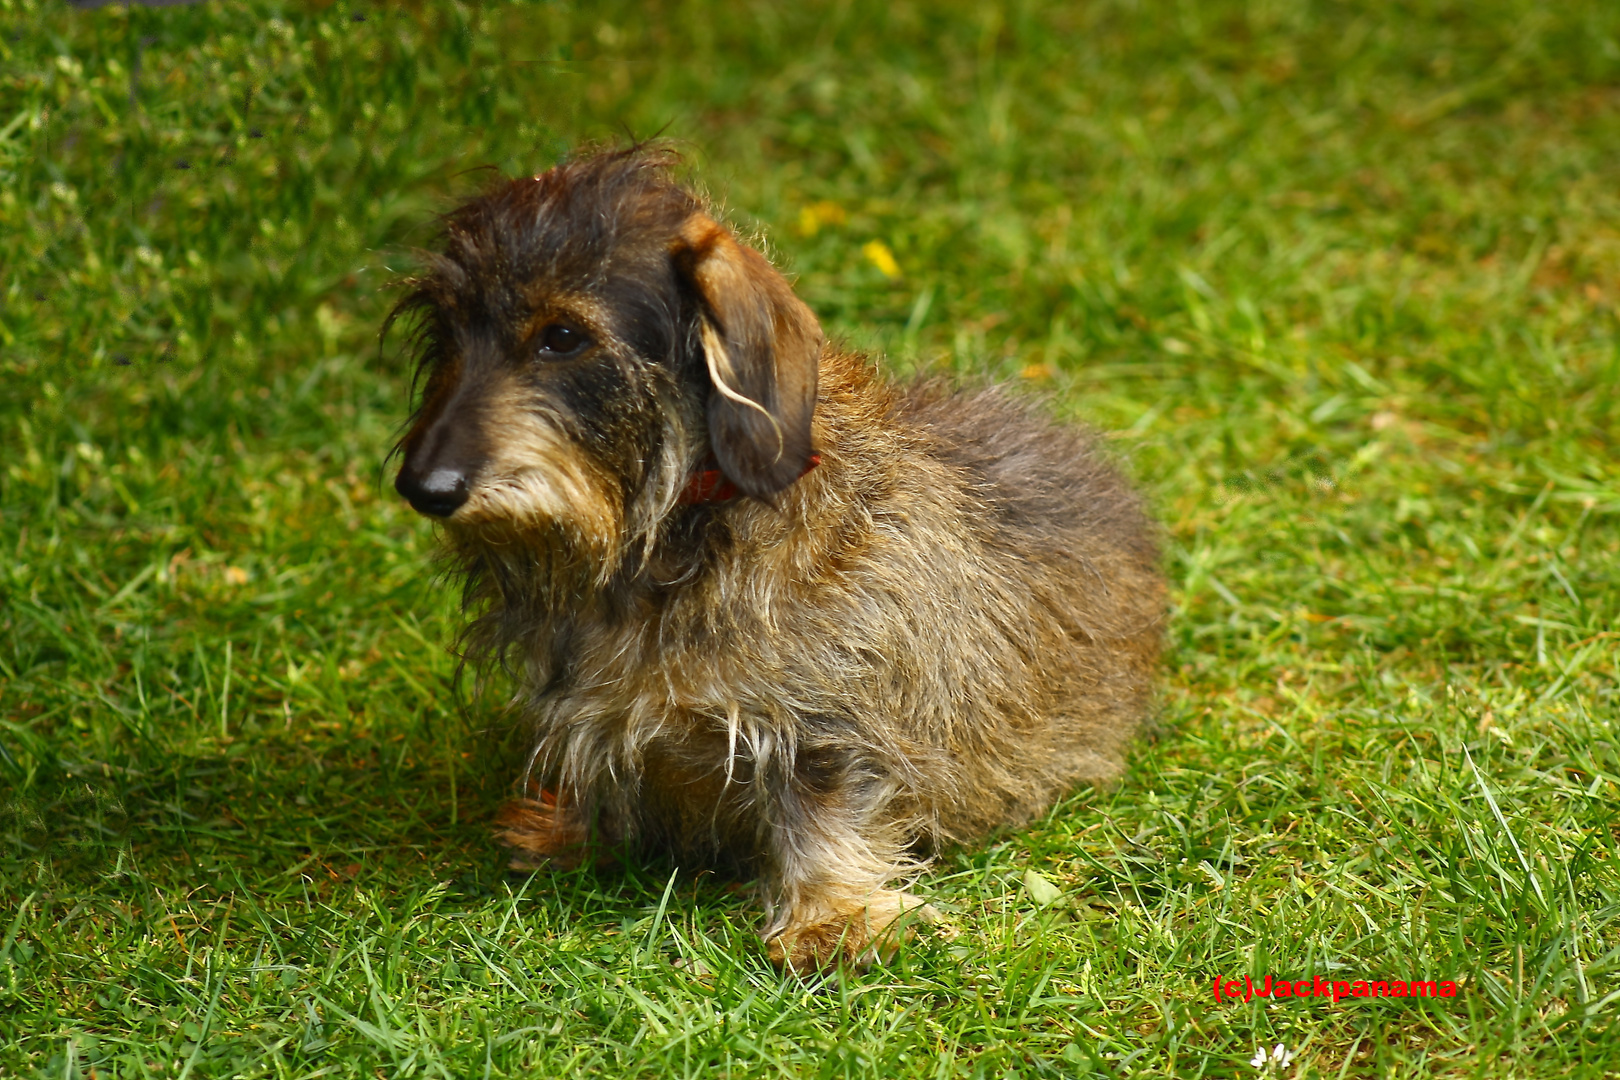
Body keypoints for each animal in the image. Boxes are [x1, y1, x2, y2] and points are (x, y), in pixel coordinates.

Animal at [390, 149, 1166, 971]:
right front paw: (568, 831)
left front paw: (834, 917)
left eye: (562, 335)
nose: (424, 486)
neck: (672, 533)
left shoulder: (825, 717)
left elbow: (820, 803)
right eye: (446, 329)